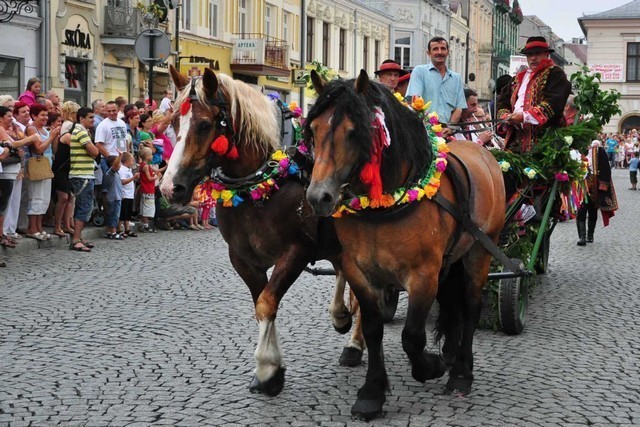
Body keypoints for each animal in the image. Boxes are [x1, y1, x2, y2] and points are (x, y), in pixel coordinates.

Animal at [161, 66, 364, 398]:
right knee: (342, 273)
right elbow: (261, 303)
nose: (169, 187)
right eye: (175, 122)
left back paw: (355, 343)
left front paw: (267, 367)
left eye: (204, 125)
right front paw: (272, 370)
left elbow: (267, 302)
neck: (261, 181)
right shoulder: (243, 258)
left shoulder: (295, 251)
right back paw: (340, 316)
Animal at [304, 71, 504, 422]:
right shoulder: (360, 272)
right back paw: (450, 353)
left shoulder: (423, 275)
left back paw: (460, 372)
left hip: (481, 249)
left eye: (354, 132)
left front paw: (430, 366)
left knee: (470, 305)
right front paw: (371, 393)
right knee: (452, 302)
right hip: (451, 260)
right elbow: (372, 327)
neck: (384, 208)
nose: (319, 197)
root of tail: (482, 151)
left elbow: (412, 336)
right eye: (314, 129)